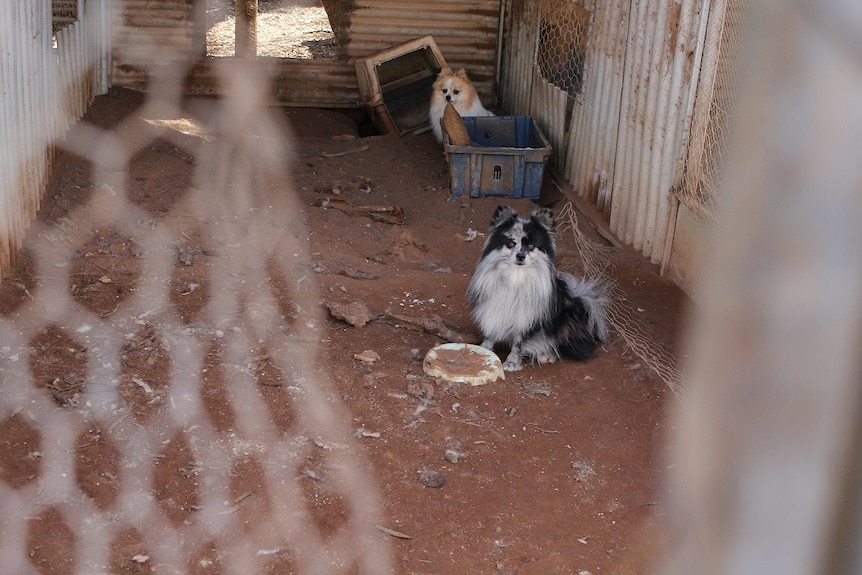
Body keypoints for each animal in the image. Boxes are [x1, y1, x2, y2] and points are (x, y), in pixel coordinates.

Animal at [470, 205, 612, 372]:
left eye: (531, 246)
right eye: (511, 243)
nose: (520, 256)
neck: (516, 277)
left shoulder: (527, 316)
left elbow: (518, 342)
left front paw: (512, 362)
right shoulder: (494, 306)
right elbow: (491, 330)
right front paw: (484, 348)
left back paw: (546, 355)